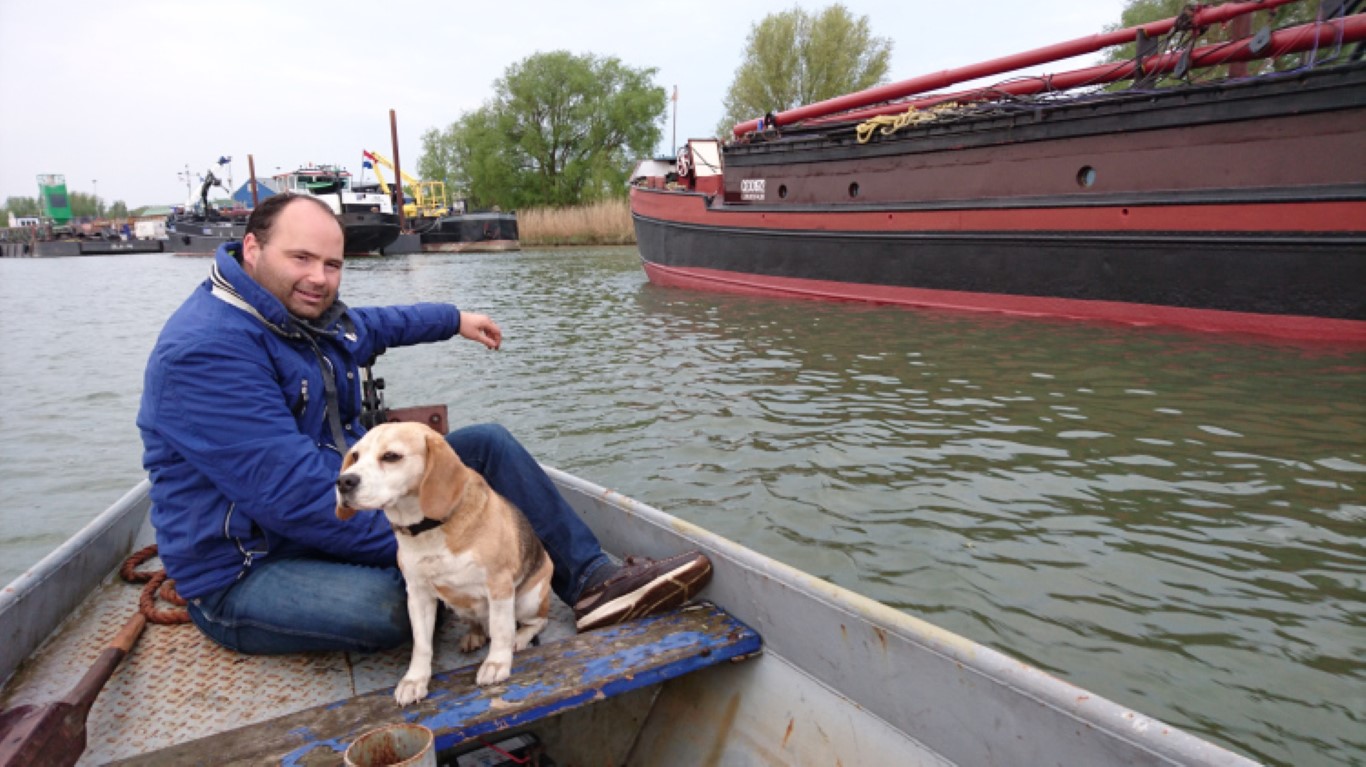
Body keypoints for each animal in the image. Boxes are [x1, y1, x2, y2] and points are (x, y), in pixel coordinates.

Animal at [334, 421, 549, 705]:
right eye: (356, 456)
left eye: (391, 456)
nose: (343, 481)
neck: (427, 529)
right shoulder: (418, 595)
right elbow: (421, 645)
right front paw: (414, 680)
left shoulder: (499, 585)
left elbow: (502, 630)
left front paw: (496, 664)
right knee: (480, 623)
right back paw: (474, 635)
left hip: (528, 599)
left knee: (535, 622)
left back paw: (520, 638)